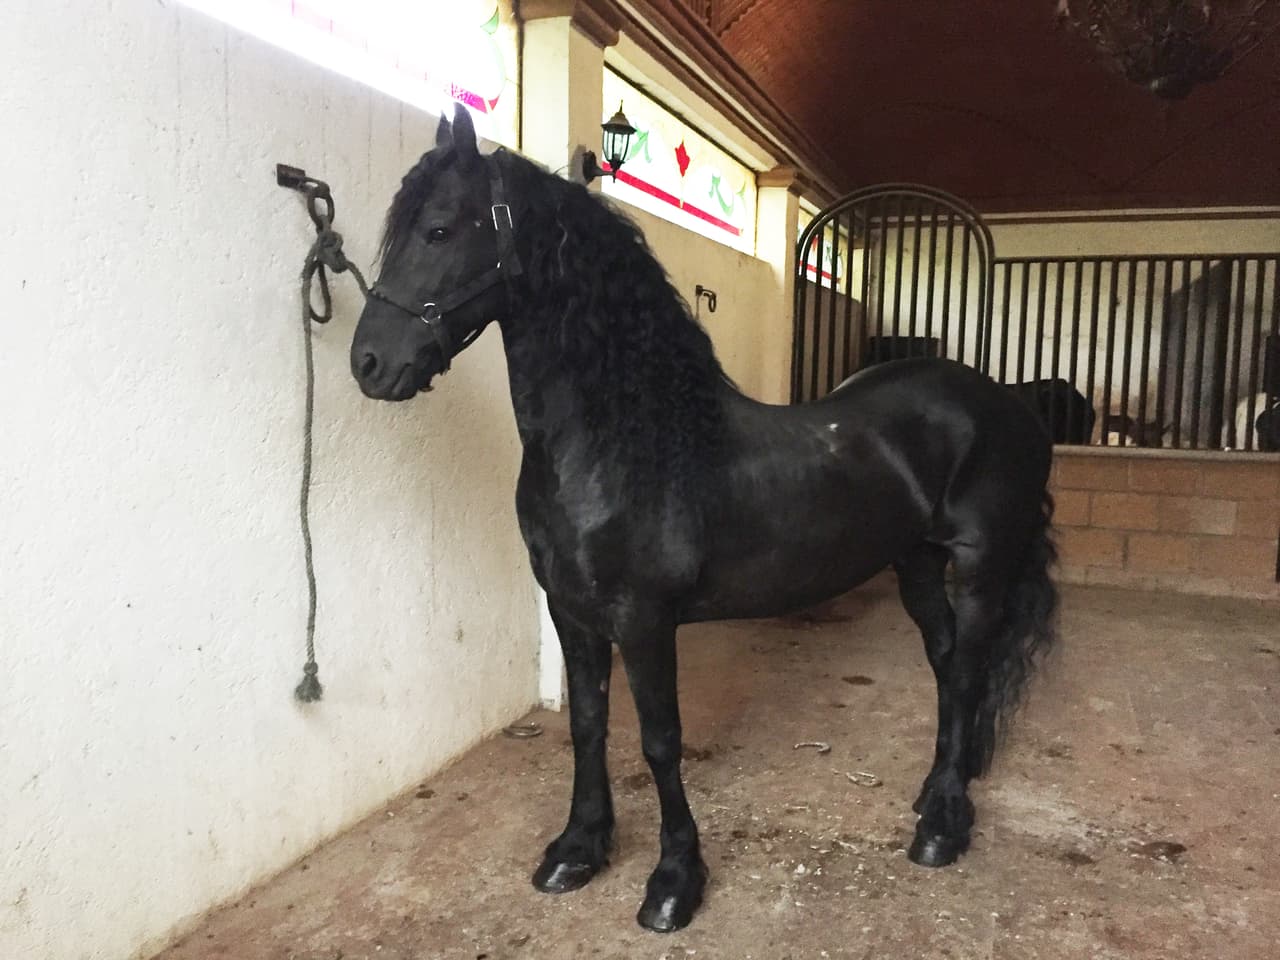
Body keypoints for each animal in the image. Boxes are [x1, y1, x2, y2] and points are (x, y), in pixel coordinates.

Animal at [349, 106, 1058, 933]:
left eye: (436, 230)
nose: (368, 364)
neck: (629, 440)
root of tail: (1010, 406)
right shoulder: (571, 612)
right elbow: (587, 724)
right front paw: (578, 849)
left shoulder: (645, 619)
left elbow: (661, 741)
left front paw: (673, 881)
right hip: (915, 561)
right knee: (946, 663)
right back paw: (939, 791)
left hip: (980, 565)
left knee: (971, 667)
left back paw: (944, 825)